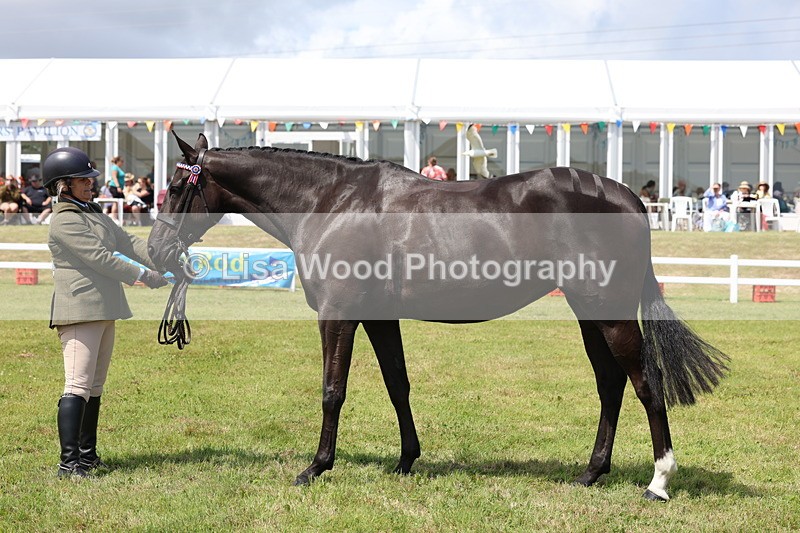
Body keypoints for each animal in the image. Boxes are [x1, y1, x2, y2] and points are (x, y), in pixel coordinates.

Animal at [147, 133, 728, 501]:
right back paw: (591, 473)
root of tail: (626, 196)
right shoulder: (378, 317)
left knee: (645, 382)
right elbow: (397, 384)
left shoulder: (338, 314)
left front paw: (315, 467)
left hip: (608, 313)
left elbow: (333, 389)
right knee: (611, 384)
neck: (332, 201)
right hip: (589, 312)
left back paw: (658, 481)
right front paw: (407, 460)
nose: (154, 251)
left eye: (175, 188)